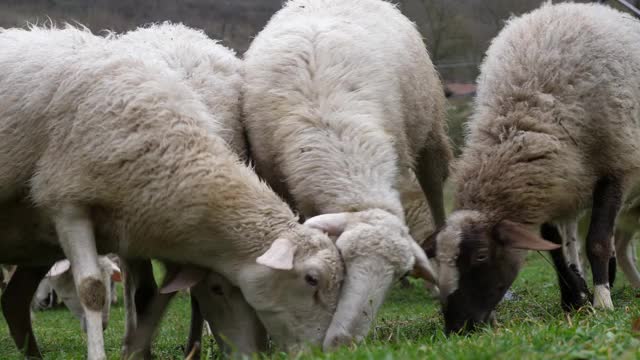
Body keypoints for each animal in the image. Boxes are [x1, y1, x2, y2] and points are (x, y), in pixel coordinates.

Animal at [0, 23, 344, 358]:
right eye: (311, 279)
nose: (318, 352)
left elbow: (157, 297)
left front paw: (138, 350)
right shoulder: (68, 206)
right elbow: (94, 290)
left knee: (13, 299)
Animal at [436, 2, 640, 334]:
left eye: (481, 255)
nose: (457, 327)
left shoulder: (616, 167)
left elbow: (598, 241)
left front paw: (602, 301)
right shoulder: (550, 183)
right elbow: (556, 248)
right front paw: (576, 297)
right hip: (573, 183)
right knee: (572, 241)